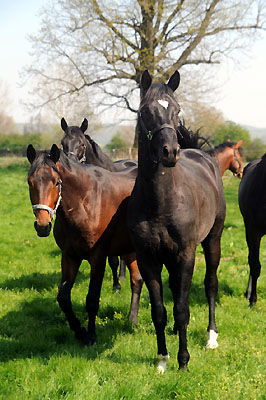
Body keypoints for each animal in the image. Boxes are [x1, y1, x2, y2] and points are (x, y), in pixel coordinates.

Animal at [26, 145, 143, 346]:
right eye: (29, 182)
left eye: (56, 182)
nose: (42, 225)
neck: (85, 203)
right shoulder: (70, 256)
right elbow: (63, 297)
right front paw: (79, 330)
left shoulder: (98, 258)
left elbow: (92, 299)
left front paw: (91, 335)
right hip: (129, 249)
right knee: (137, 280)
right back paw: (132, 320)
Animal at [128, 70, 225, 374]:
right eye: (145, 111)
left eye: (177, 109)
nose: (170, 151)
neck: (161, 203)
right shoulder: (147, 258)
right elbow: (159, 310)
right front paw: (162, 360)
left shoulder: (185, 254)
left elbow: (182, 308)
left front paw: (183, 361)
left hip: (213, 240)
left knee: (210, 284)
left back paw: (211, 338)